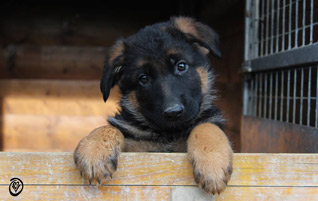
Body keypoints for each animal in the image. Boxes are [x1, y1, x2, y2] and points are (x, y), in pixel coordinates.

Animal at [74, 17, 234, 195]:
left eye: (181, 66)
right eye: (143, 78)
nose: (173, 112)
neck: (167, 133)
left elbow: (206, 126)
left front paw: (212, 164)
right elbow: (108, 128)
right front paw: (94, 150)